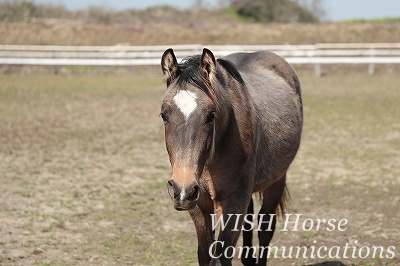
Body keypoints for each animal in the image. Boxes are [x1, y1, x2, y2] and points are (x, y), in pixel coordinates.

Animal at [159, 47, 304, 266]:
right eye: (164, 114)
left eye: (211, 115)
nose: (182, 190)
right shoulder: (199, 204)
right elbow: (205, 254)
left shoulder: (232, 202)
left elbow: (221, 256)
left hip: (277, 180)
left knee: (265, 229)